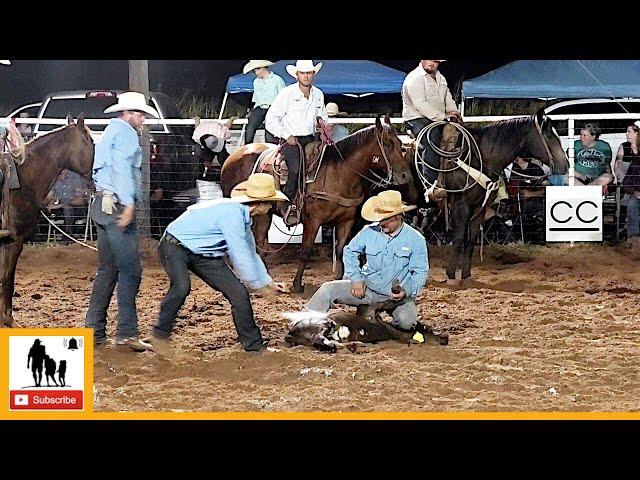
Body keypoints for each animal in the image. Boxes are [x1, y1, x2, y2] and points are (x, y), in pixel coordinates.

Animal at [221, 118, 416, 294]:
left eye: (401, 144)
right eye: (387, 144)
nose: (405, 175)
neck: (339, 175)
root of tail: (232, 156)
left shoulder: (346, 221)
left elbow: (341, 250)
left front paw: (337, 279)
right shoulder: (313, 220)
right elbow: (306, 251)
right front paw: (297, 285)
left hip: (264, 213)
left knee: (259, 240)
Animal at [416, 109, 568, 284]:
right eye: (549, 135)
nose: (566, 164)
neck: (479, 157)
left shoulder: (479, 208)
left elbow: (470, 242)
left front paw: (466, 276)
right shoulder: (461, 207)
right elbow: (458, 240)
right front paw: (451, 276)